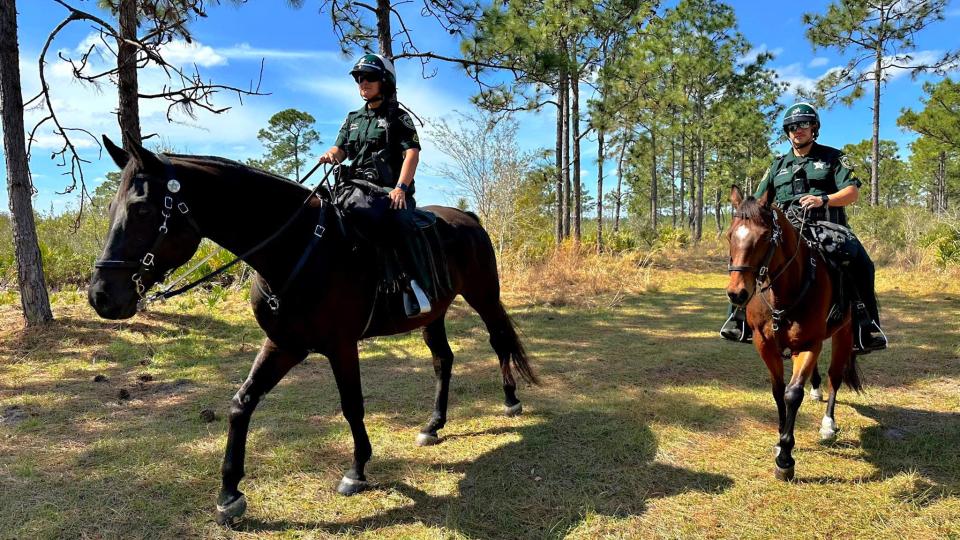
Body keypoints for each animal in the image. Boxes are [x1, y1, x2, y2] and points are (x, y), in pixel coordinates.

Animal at [88, 137, 540, 524]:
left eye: (143, 210)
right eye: (111, 207)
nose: (100, 296)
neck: (297, 250)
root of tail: (467, 218)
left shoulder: (340, 346)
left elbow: (352, 406)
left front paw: (357, 471)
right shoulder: (284, 344)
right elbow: (241, 403)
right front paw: (229, 494)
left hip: (484, 296)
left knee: (499, 341)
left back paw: (510, 400)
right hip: (434, 314)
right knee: (443, 360)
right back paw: (433, 425)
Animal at [728, 185, 864, 480]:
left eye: (764, 237)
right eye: (730, 234)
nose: (737, 293)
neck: (784, 291)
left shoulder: (810, 344)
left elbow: (792, 393)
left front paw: (786, 459)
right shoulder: (764, 344)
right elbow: (778, 390)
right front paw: (780, 441)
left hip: (844, 333)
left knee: (835, 377)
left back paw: (828, 424)